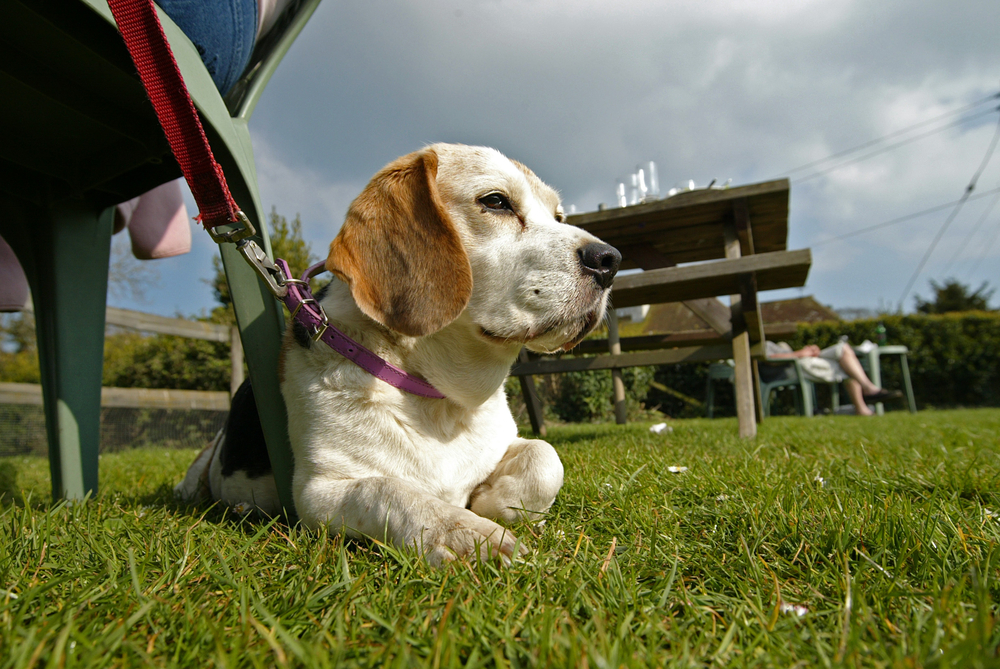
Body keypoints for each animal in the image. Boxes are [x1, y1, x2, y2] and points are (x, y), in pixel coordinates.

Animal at [176, 145, 620, 564]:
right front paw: (466, 534)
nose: (609, 261)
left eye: (558, 215)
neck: (440, 402)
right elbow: (387, 489)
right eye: (496, 201)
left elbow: (545, 457)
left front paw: (493, 499)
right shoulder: (318, 493)